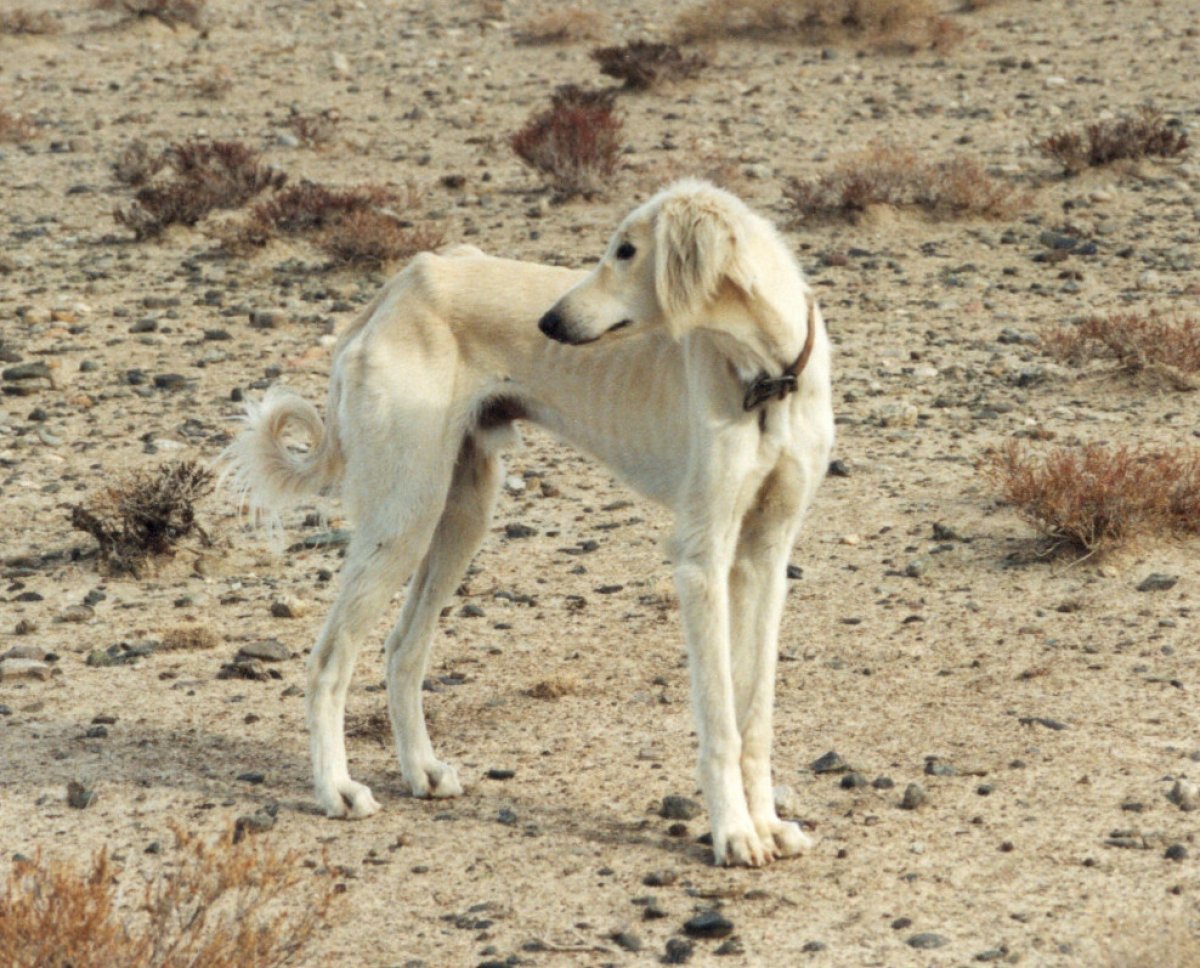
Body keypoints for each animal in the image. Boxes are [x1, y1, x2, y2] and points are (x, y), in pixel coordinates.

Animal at [229, 182, 840, 868]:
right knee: (330, 659)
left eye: (627, 251)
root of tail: (403, 283)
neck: (767, 374)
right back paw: (336, 789)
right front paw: (734, 832)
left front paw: (769, 826)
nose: (549, 324)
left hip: (461, 515)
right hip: (404, 516)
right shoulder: (701, 557)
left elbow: (753, 711)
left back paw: (422, 772)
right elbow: (719, 718)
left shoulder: (766, 551)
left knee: (402, 648)